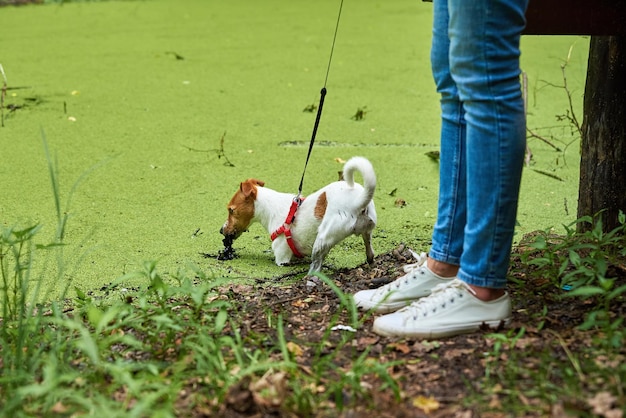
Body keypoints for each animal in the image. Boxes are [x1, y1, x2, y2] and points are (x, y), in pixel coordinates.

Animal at [219, 158, 376, 274]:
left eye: (231, 210)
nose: (221, 230)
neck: (270, 208)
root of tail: (357, 202)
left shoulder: (282, 258)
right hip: (367, 231)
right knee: (370, 252)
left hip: (322, 240)